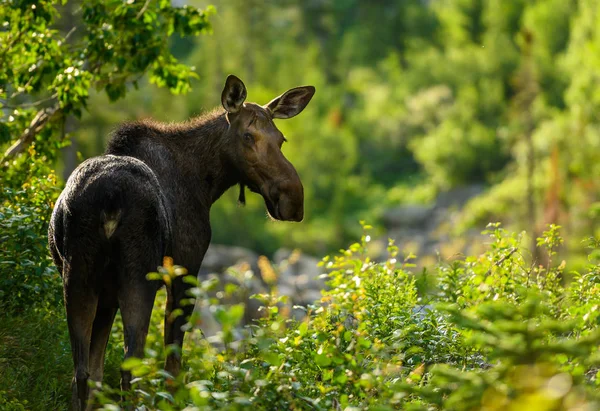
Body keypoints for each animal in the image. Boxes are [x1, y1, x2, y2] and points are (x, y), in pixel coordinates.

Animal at [48, 75, 314, 410]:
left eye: (280, 139)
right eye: (248, 136)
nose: (294, 200)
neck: (207, 182)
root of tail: (110, 200)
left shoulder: (107, 290)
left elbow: (96, 372)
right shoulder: (185, 270)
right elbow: (173, 369)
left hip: (79, 276)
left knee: (81, 373)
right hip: (138, 277)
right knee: (130, 368)